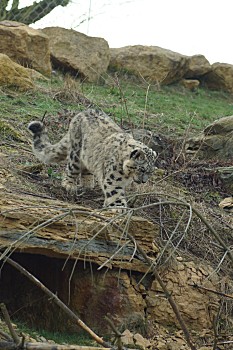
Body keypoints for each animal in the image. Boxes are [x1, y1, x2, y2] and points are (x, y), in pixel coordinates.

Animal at [27, 109, 158, 212]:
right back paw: (69, 184)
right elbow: (115, 193)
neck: (127, 175)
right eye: (142, 169)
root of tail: (80, 113)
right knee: (71, 168)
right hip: (76, 153)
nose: (144, 181)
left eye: (150, 172)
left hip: (88, 156)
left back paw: (88, 184)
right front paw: (118, 208)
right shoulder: (113, 179)